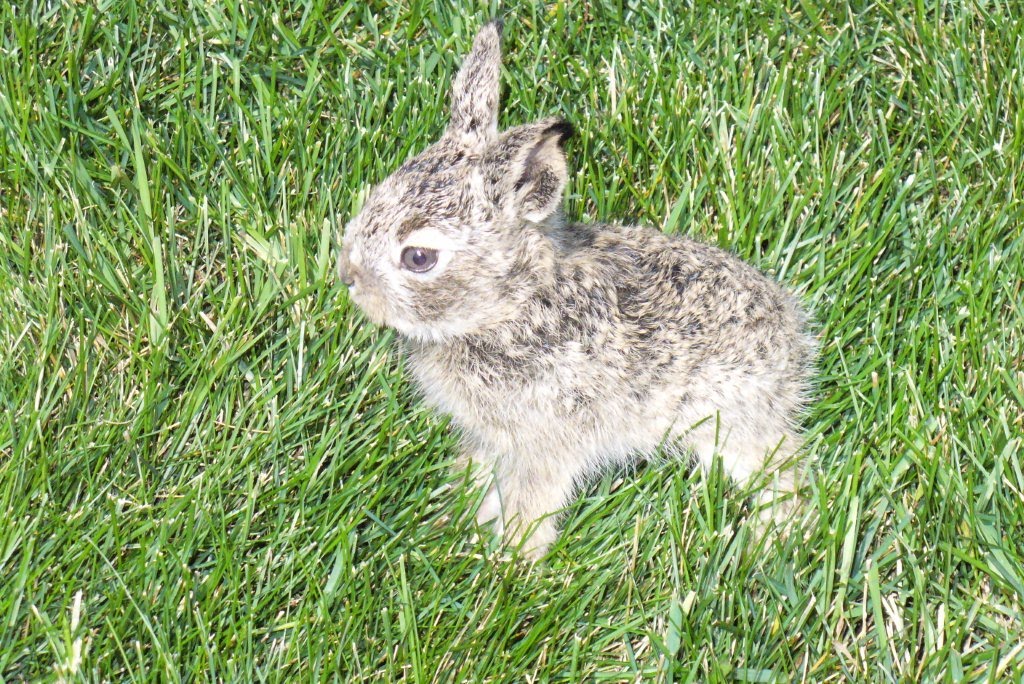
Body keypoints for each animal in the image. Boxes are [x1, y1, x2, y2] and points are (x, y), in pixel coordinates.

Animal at [337, 20, 816, 560]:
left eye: (418, 258)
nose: (348, 276)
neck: (510, 305)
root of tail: (792, 335)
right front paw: (462, 525)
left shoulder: (545, 441)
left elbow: (533, 499)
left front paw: (513, 560)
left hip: (729, 420)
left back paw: (774, 537)